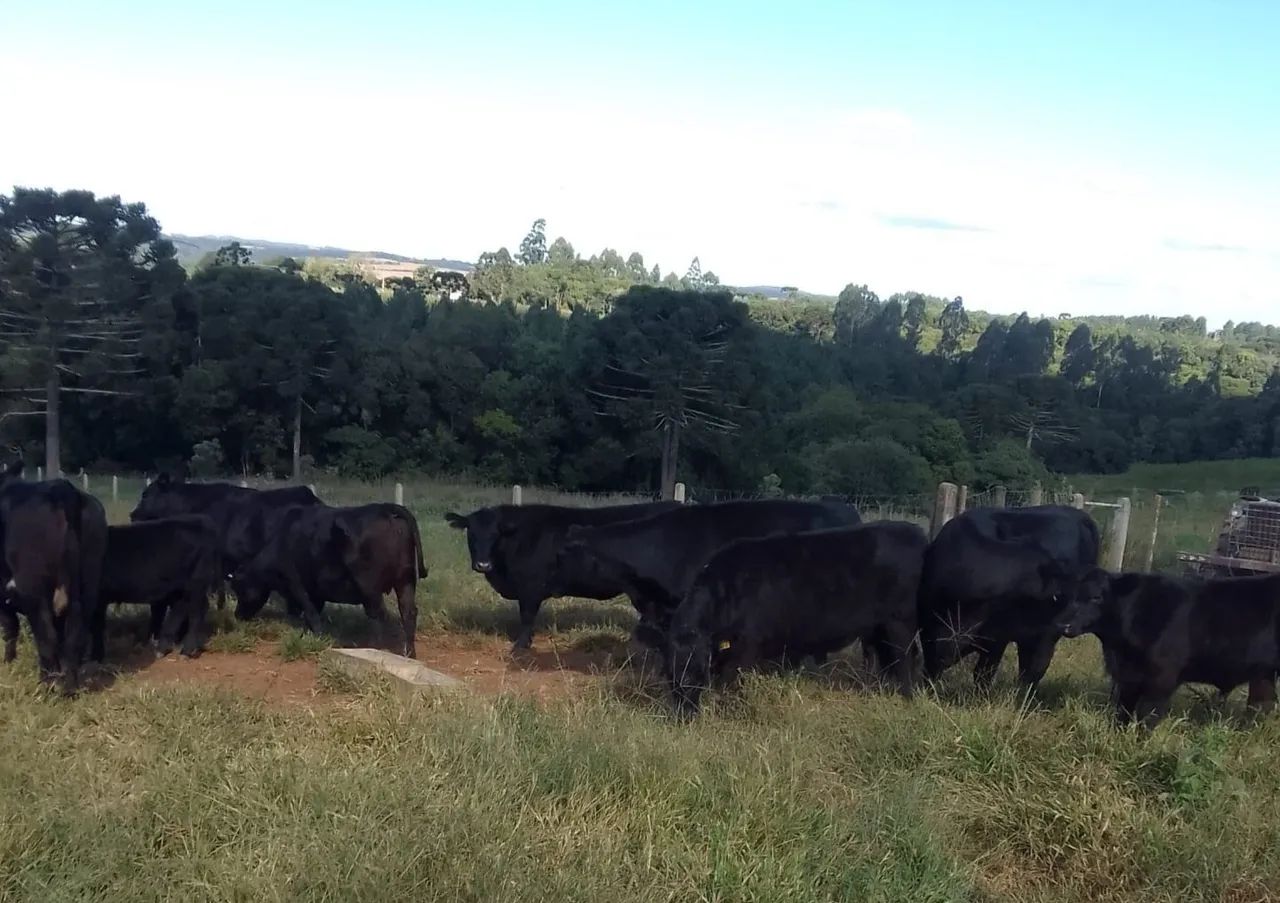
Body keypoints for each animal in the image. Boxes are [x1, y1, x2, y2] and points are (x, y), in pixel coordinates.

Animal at [90, 515, 222, 660]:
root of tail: (200, 520)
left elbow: (96, 627)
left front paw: (96, 657)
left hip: (196, 584)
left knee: (197, 611)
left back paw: (186, 651)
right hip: (180, 588)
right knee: (179, 609)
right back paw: (162, 649)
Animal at [230, 503, 426, 658]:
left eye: (240, 589)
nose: (237, 615)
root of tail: (385, 508)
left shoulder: (296, 583)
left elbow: (311, 612)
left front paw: (318, 636)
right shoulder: (316, 590)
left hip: (370, 588)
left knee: (379, 614)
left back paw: (376, 648)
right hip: (405, 581)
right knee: (408, 613)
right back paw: (410, 654)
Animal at [444, 500, 682, 652]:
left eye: (496, 534)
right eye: (471, 533)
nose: (483, 564)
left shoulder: (530, 587)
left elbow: (527, 617)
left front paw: (521, 645)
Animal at [665, 520, 928, 717]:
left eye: (695, 672)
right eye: (670, 674)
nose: (684, 715)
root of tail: (914, 531)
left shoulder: (746, 646)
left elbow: (731, 681)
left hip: (900, 622)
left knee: (904, 658)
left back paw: (906, 696)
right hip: (878, 627)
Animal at [1058, 568, 1280, 727]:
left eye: (1096, 597)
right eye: (1069, 596)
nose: (1064, 624)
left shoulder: (1161, 678)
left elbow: (1147, 716)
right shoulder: (1128, 679)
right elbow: (1123, 712)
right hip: (1264, 673)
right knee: (1262, 704)